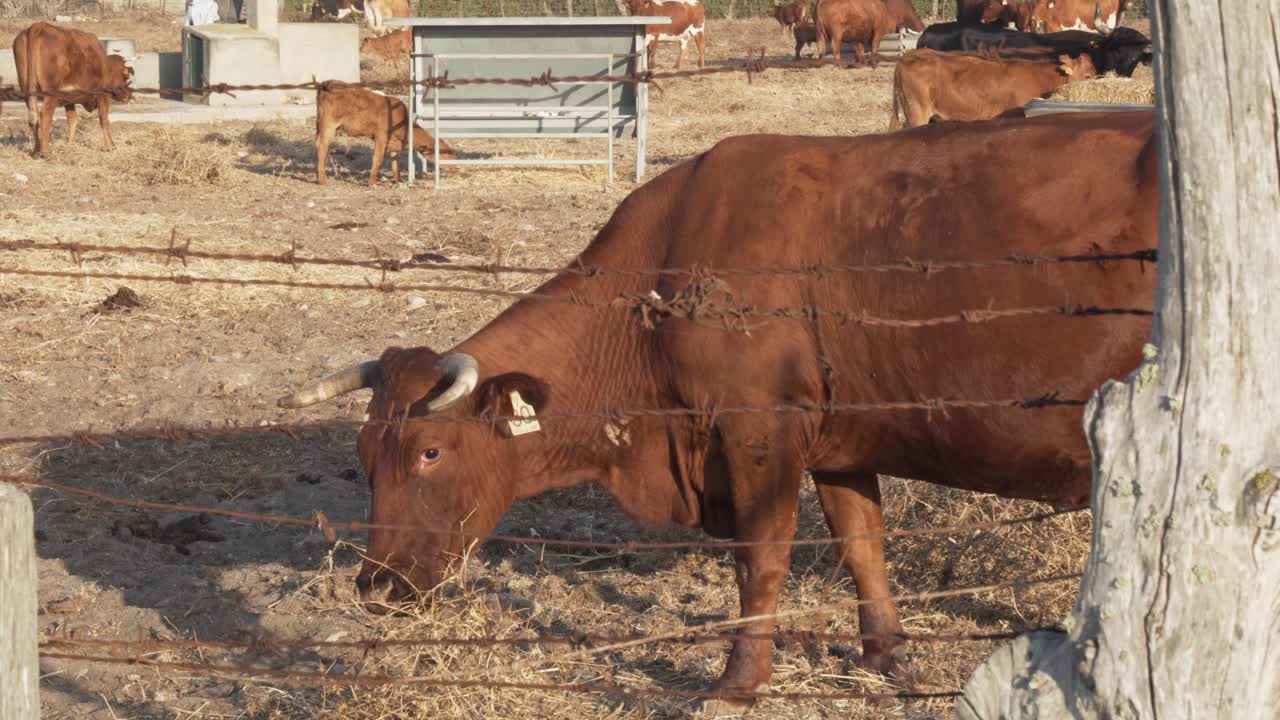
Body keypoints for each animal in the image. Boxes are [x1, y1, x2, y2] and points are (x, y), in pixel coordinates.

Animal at [12, 22, 133, 157]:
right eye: (125, 76)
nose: (128, 95)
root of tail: (39, 26)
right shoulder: (102, 95)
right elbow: (104, 119)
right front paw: (110, 146)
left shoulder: (69, 99)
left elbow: (72, 120)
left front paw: (70, 144)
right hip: (50, 93)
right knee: (45, 115)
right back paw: (45, 151)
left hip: (27, 90)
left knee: (33, 117)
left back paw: (36, 150)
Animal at [277, 109, 1158, 700]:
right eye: (364, 458)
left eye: (431, 451)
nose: (375, 588)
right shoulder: (842, 444)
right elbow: (862, 548)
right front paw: (881, 656)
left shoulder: (759, 432)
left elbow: (759, 559)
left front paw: (736, 683)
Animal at [315, 82, 455, 186]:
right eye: (445, 154)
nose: (455, 164)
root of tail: (327, 82)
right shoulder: (381, 136)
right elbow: (378, 158)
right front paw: (372, 182)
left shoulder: (393, 142)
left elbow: (395, 161)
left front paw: (398, 179)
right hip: (329, 125)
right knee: (322, 146)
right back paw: (323, 180)